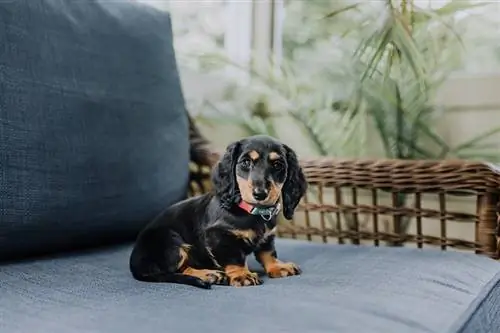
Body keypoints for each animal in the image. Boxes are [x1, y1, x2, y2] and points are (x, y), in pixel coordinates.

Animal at [128, 135, 308, 288]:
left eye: (278, 165)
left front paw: (277, 266)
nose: (260, 194)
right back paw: (209, 274)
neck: (251, 211)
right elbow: (234, 258)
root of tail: (135, 266)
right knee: (179, 269)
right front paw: (242, 275)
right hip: (169, 239)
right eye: (246, 162)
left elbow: (268, 252)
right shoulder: (219, 236)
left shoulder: (267, 237)